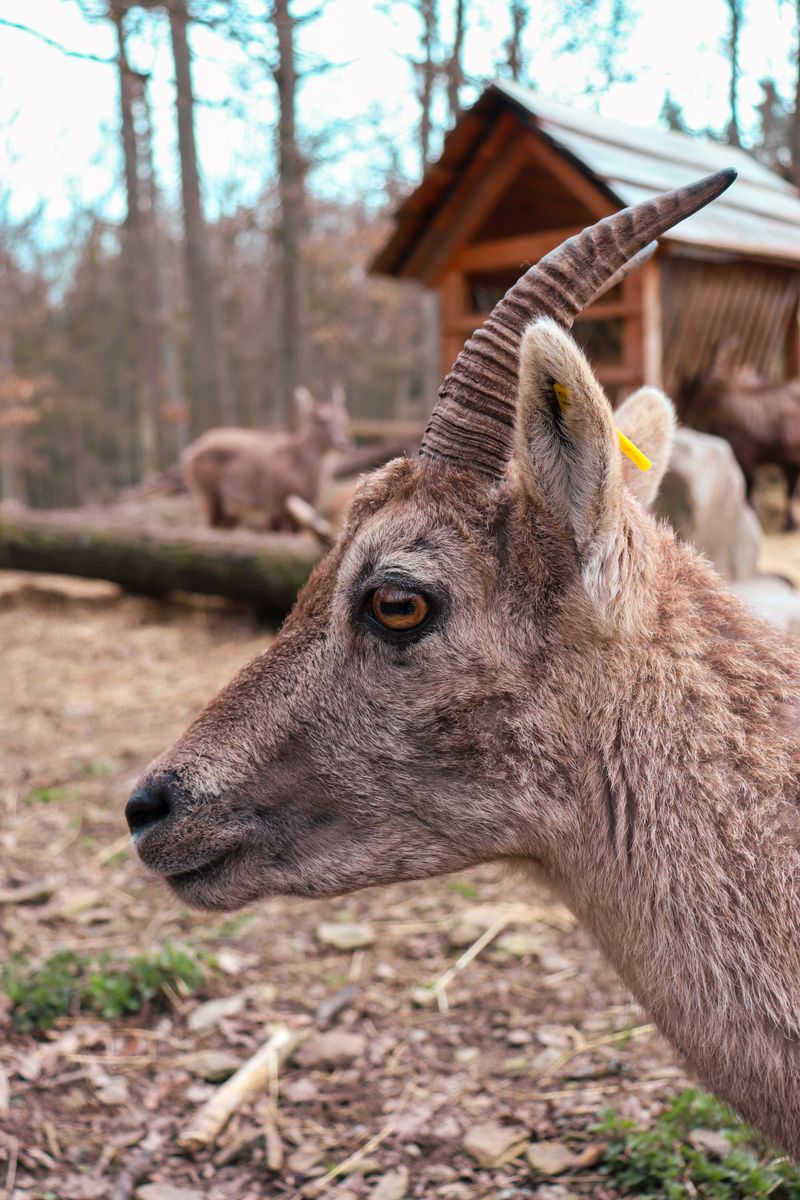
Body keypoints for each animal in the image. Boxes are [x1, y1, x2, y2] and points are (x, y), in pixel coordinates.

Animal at [182, 386, 352, 531]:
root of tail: (190, 453)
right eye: (320, 419)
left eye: (343, 417)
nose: (344, 443)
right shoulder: (275, 504)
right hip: (209, 496)